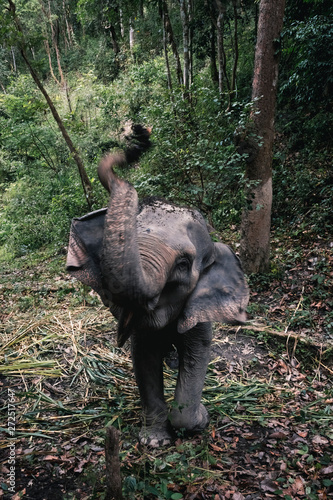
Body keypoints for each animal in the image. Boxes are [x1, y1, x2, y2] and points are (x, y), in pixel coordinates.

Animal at [66, 127, 248, 448]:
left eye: (184, 264)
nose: (136, 144)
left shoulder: (199, 313)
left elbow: (197, 355)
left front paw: (200, 417)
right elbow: (144, 359)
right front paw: (154, 442)